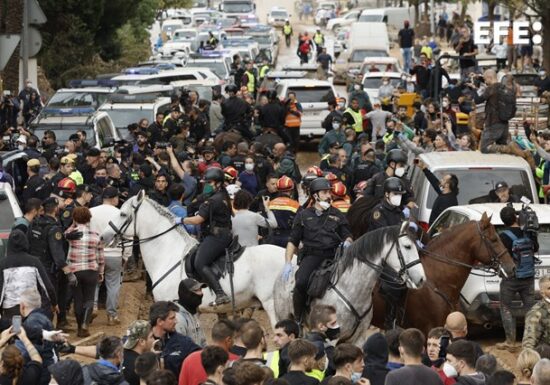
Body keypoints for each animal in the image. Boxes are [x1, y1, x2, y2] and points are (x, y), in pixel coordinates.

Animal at [274, 222, 426, 344]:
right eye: (407, 246)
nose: (422, 279)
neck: (352, 291)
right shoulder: (331, 339)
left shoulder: (358, 339)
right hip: (284, 318)